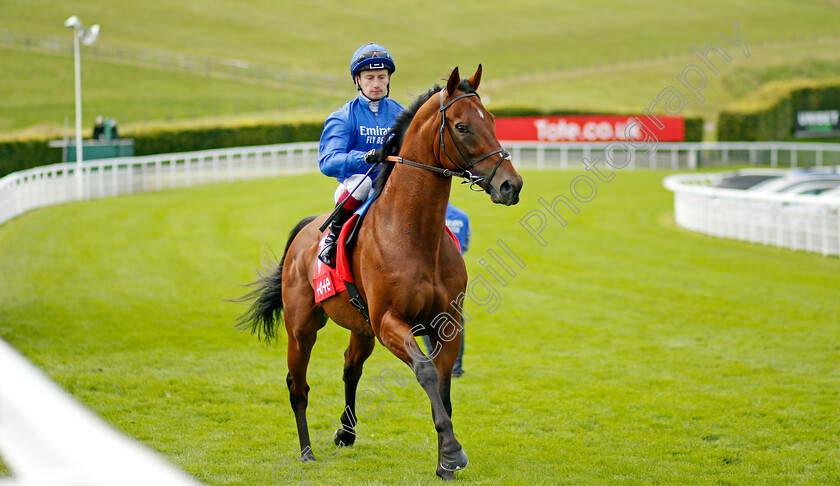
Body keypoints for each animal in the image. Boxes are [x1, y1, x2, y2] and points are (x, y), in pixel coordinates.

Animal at [236, 65, 520, 482]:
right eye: (462, 126)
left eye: (494, 120)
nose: (510, 184)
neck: (414, 234)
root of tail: (306, 230)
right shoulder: (389, 321)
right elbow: (426, 372)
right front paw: (452, 452)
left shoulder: (448, 322)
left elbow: (444, 384)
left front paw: (445, 461)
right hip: (303, 326)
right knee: (297, 384)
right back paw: (306, 453)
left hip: (360, 327)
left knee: (350, 368)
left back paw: (345, 432)